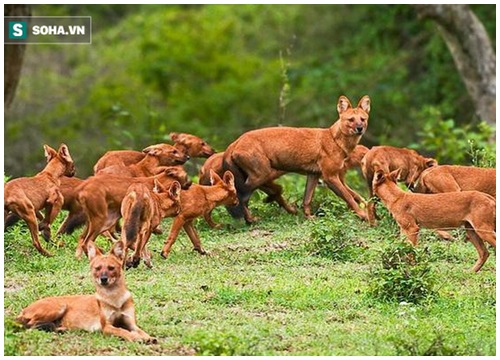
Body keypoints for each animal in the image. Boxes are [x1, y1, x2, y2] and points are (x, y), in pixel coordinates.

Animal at [16, 240, 155, 342]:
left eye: (111, 268)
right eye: (97, 268)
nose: (103, 279)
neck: (114, 298)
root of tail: (24, 309)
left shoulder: (131, 322)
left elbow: (140, 330)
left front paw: (148, 337)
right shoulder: (106, 326)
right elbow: (122, 331)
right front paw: (135, 337)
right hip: (60, 306)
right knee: (29, 324)